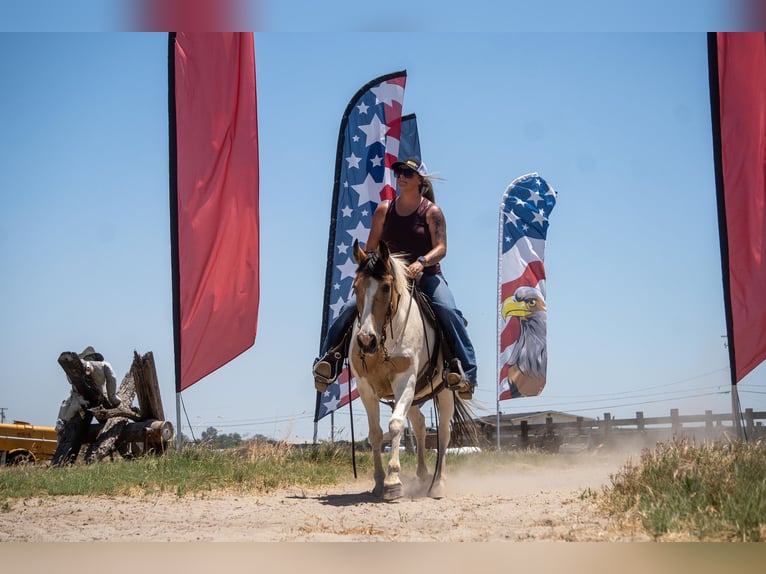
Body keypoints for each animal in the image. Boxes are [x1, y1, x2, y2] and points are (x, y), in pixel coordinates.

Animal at [348, 241, 474, 502]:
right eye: (355, 288)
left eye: (386, 287)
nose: (365, 340)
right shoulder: (365, 387)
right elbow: (375, 434)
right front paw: (378, 482)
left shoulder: (405, 380)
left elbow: (396, 424)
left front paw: (393, 482)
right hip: (416, 395)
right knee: (420, 424)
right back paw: (423, 475)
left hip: (444, 392)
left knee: (443, 432)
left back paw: (437, 484)